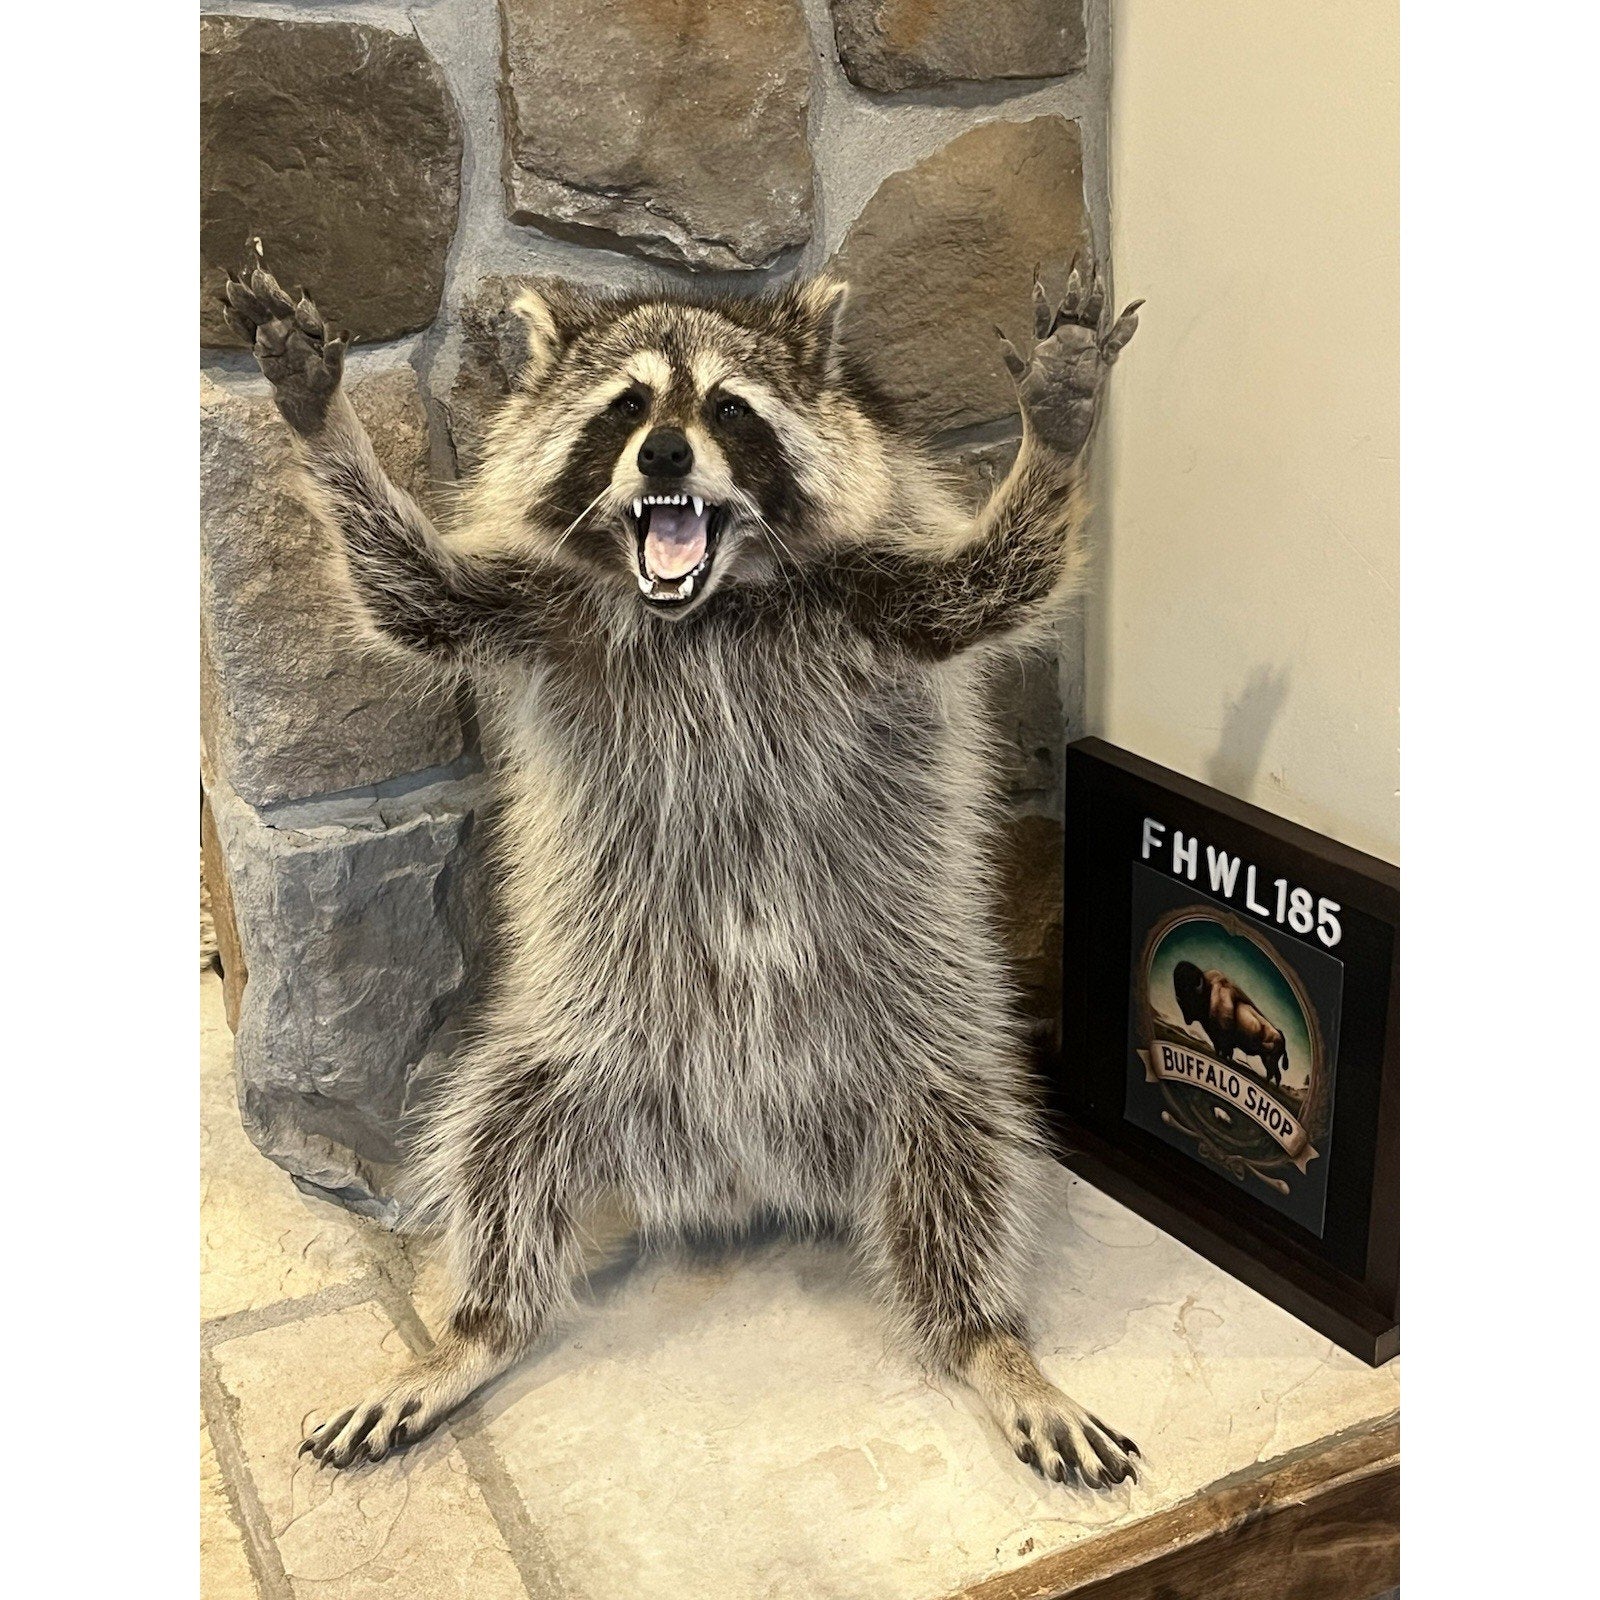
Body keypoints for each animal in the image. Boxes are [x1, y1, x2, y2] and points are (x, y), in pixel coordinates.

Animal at [221, 248, 1142, 1490]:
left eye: (727, 410)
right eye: (624, 409)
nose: (663, 455)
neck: (710, 603)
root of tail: (738, 1164)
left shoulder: (877, 596)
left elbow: (1000, 577)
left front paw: (1061, 417)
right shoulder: (534, 609)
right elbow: (409, 593)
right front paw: (316, 423)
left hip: (920, 1044)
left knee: (966, 1155)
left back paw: (986, 1338)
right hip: (567, 1049)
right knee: (497, 1150)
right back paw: (475, 1329)